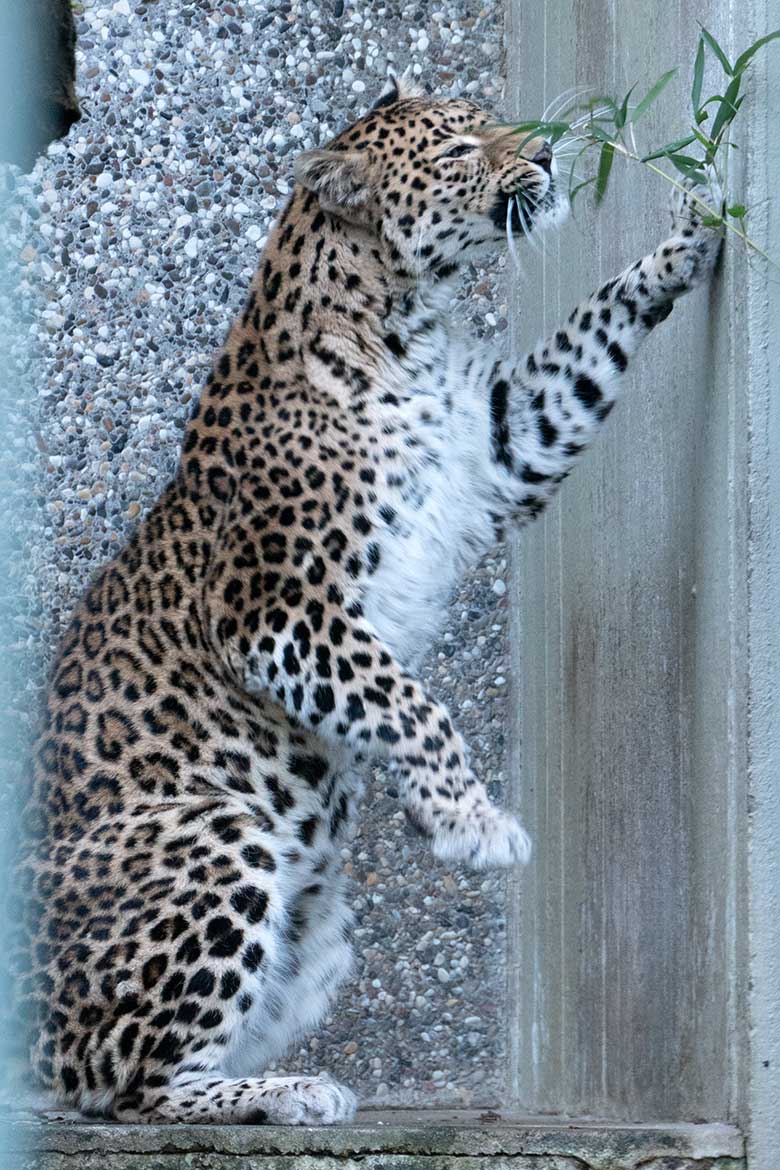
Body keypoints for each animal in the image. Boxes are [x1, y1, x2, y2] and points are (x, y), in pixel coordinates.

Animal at [12, 75, 725, 1123]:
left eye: (493, 122)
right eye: (461, 148)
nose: (548, 154)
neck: (406, 324)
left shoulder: (499, 447)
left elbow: (585, 340)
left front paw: (686, 238)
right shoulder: (275, 608)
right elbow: (408, 702)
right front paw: (471, 826)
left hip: (318, 947)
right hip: (219, 836)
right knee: (123, 1086)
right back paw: (285, 1091)